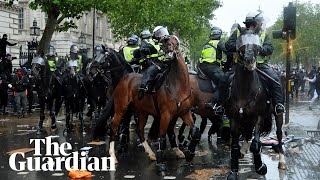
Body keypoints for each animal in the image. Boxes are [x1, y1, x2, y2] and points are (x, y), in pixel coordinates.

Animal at [109, 35, 198, 173]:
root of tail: (125, 78)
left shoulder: (184, 113)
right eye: (165, 41)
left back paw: (151, 153)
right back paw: (113, 156)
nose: (169, 47)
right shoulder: (166, 115)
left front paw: (190, 153)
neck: (178, 86)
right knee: (114, 128)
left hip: (142, 112)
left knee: (139, 130)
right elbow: (162, 136)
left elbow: (194, 129)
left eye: (176, 41)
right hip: (121, 109)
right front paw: (161, 164)